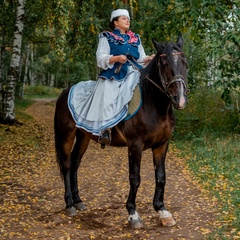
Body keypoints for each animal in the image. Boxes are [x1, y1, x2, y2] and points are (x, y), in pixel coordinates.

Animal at [54, 35, 188, 229]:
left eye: (184, 62)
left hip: (83, 136)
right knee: (65, 165)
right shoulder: (135, 145)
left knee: (75, 163)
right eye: (164, 63)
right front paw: (133, 214)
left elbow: (161, 177)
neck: (154, 105)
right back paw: (70, 204)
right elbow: (135, 178)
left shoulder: (162, 145)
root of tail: (65, 91)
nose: (180, 99)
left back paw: (78, 201)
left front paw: (162, 211)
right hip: (67, 135)